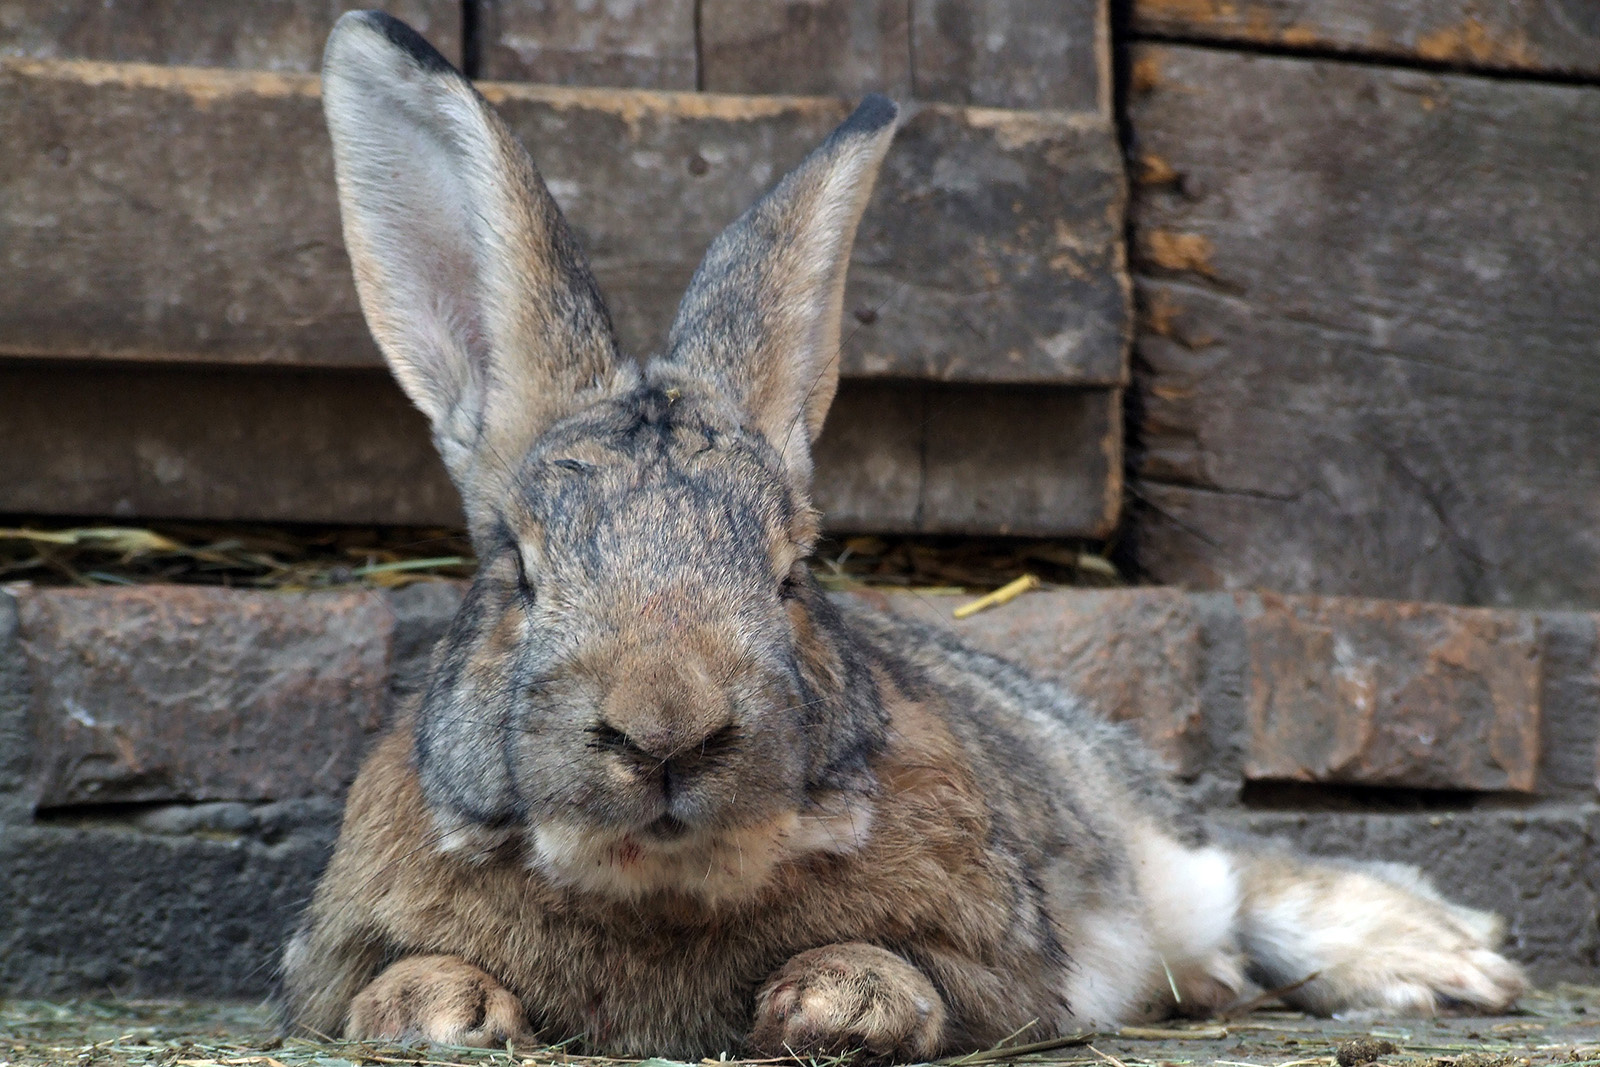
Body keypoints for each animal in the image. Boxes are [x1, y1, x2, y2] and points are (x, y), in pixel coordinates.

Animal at [284, 10, 1523, 1062]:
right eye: (520, 575)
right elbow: (389, 981)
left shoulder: (999, 948)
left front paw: (834, 1000)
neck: (660, 885)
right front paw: (436, 1010)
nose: (666, 730)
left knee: (1247, 873)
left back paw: (1446, 964)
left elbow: (913, 970)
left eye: (792, 573)